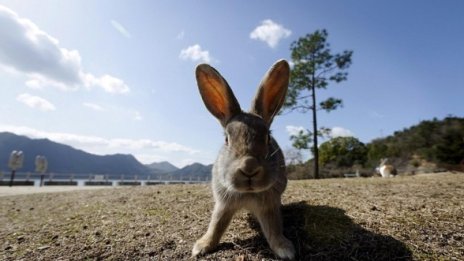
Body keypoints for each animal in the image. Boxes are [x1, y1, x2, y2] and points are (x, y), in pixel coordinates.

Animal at [191, 59, 294, 258]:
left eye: (268, 137)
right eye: (227, 139)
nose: (249, 167)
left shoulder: (269, 205)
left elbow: (274, 228)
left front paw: (285, 249)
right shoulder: (223, 204)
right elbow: (216, 225)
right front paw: (202, 246)